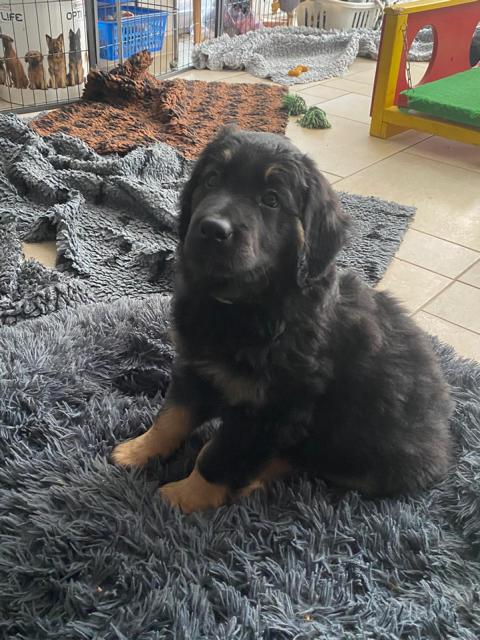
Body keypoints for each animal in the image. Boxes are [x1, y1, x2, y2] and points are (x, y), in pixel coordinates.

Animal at [112, 128, 453, 513]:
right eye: (212, 180)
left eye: (271, 200)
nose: (211, 229)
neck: (243, 306)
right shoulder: (195, 366)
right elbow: (171, 417)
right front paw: (138, 450)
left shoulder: (270, 408)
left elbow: (218, 455)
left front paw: (183, 498)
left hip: (366, 450)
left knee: (308, 461)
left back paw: (254, 481)